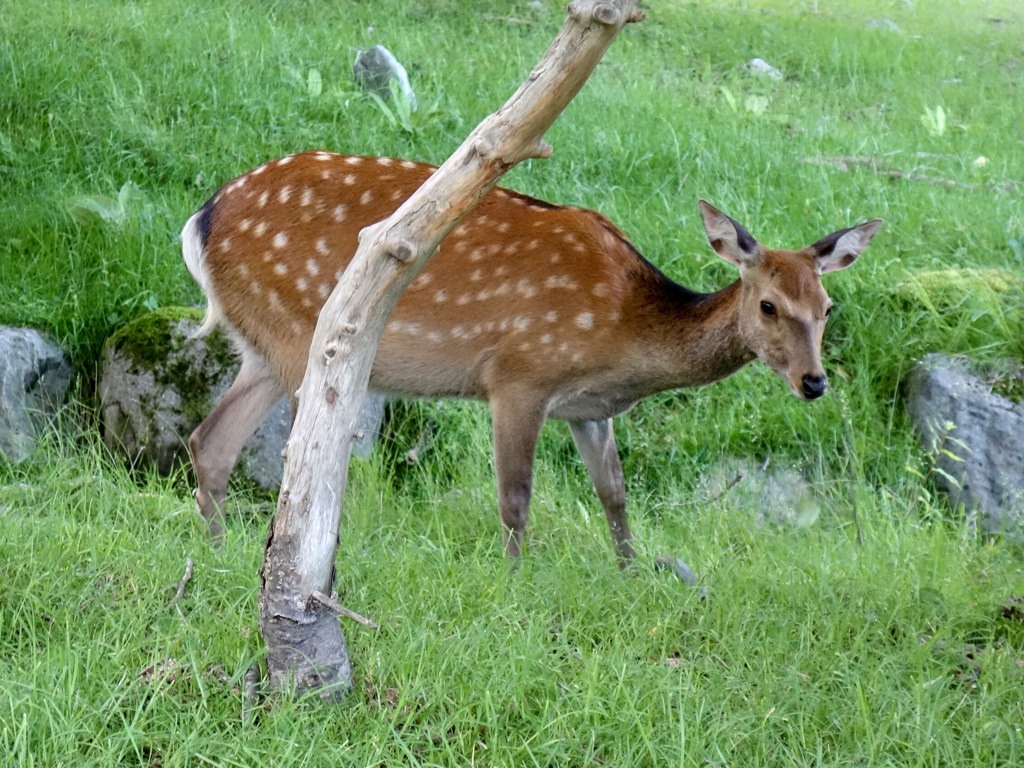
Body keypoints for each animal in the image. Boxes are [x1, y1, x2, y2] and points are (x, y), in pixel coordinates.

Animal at [180, 150, 884, 561]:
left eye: (827, 308)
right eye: (768, 305)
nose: (814, 382)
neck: (625, 333)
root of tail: (198, 222)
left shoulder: (589, 407)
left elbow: (614, 493)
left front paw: (630, 573)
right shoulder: (520, 373)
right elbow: (516, 497)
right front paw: (513, 580)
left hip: (263, 344)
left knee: (209, 440)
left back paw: (219, 553)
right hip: (306, 337)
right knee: (302, 459)